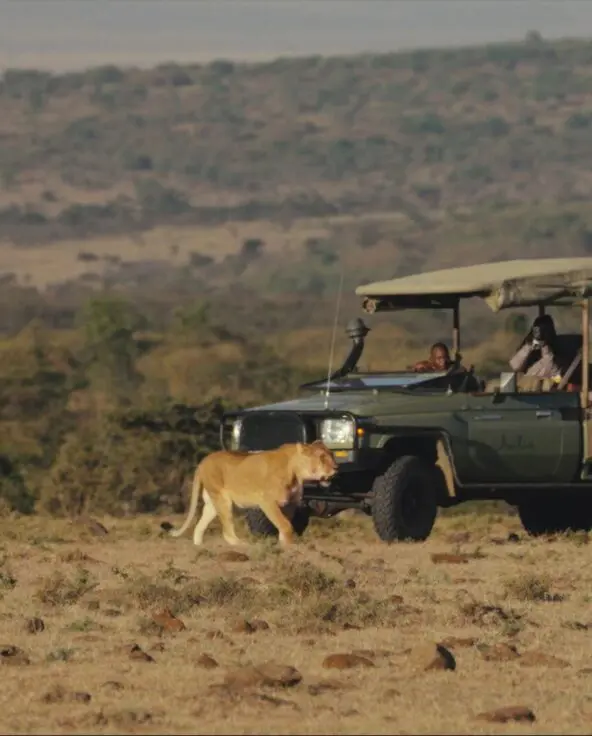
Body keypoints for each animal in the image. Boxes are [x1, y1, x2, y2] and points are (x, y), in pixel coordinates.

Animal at [166, 440, 338, 547]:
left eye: (332, 455)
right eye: (322, 458)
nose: (336, 468)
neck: (297, 473)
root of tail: (203, 461)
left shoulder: (290, 504)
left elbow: (285, 524)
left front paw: (284, 544)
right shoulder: (267, 501)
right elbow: (284, 524)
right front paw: (289, 546)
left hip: (212, 503)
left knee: (199, 526)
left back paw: (199, 547)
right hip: (223, 499)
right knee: (227, 532)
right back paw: (243, 545)